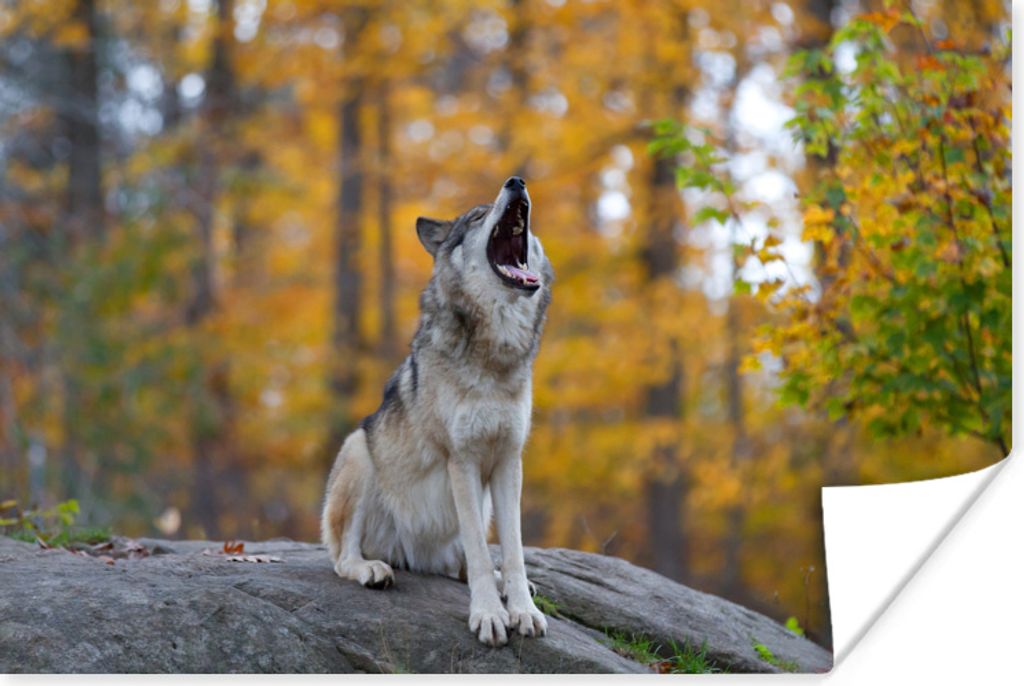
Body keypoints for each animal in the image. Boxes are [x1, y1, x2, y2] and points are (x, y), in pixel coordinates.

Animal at [321, 176, 554, 647]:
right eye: (478, 217)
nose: (516, 181)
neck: (494, 354)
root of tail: (416, 556)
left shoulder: (508, 461)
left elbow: (513, 551)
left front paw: (522, 609)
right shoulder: (460, 460)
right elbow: (482, 555)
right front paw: (489, 615)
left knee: (463, 564)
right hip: (358, 450)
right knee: (343, 557)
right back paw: (373, 569)